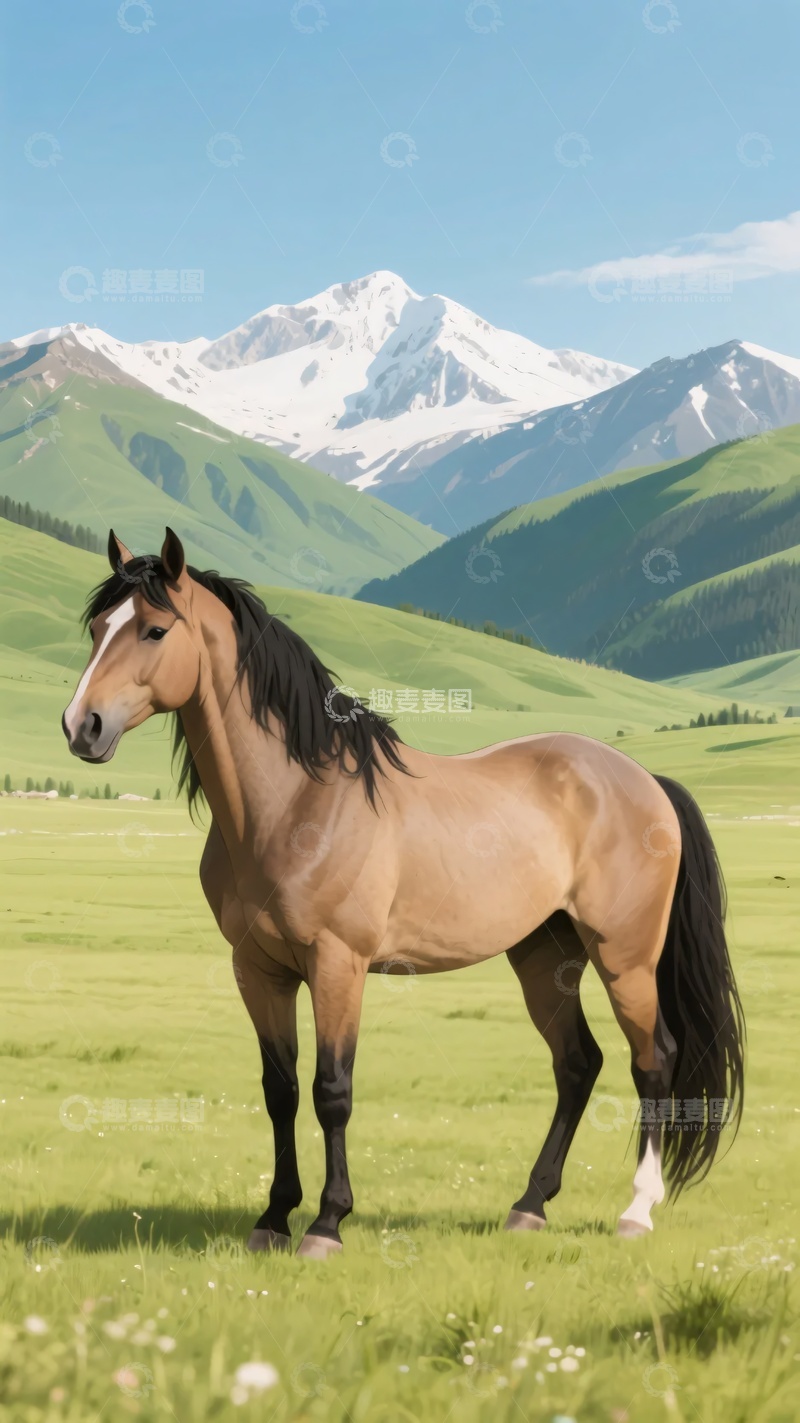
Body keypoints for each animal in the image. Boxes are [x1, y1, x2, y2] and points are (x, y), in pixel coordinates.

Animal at [62, 528, 744, 1259]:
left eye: (155, 630)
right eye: (99, 628)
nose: (82, 726)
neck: (299, 800)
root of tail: (643, 780)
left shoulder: (339, 963)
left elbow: (331, 1089)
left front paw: (327, 1223)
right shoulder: (259, 969)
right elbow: (280, 1090)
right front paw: (273, 1216)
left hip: (625, 958)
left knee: (653, 1060)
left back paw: (636, 1210)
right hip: (544, 954)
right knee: (577, 1063)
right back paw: (529, 1204)